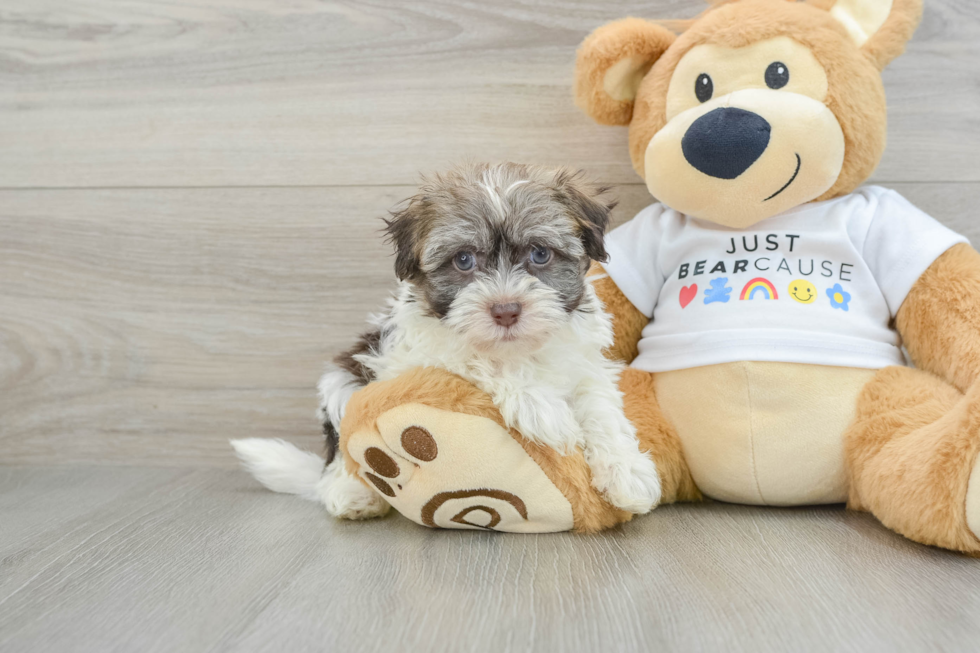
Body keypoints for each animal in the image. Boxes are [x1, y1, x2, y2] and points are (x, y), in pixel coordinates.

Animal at [232, 162, 660, 520]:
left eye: (540, 254)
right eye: (464, 260)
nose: (506, 310)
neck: (517, 350)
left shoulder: (584, 365)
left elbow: (601, 408)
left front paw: (628, 473)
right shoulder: (410, 356)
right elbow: (473, 357)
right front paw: (543, 409)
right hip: (343, 380)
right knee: (340, 449)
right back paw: (351, 493)